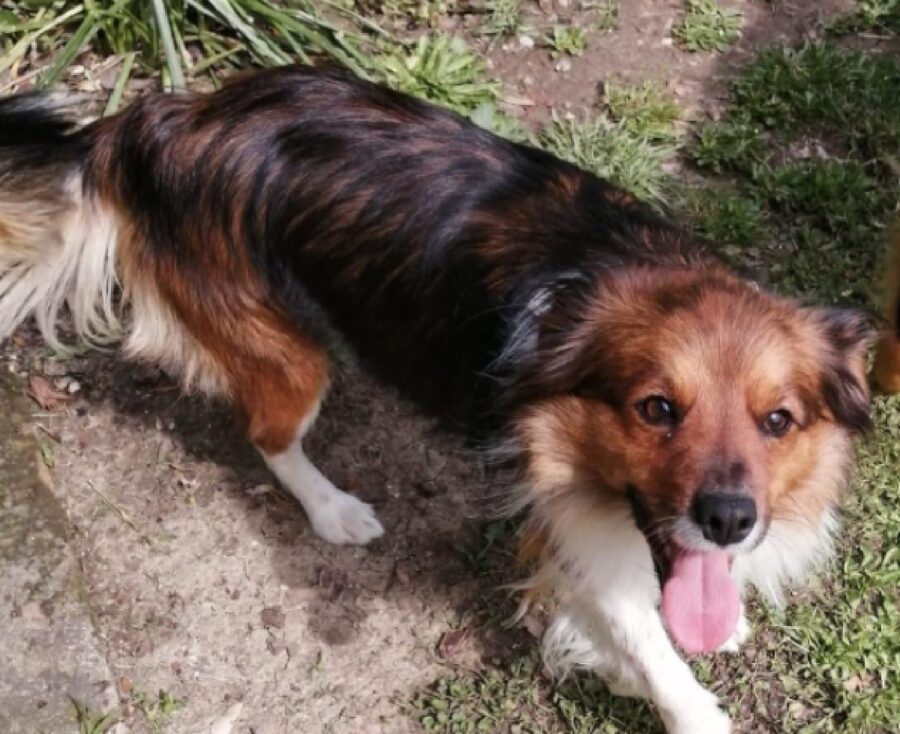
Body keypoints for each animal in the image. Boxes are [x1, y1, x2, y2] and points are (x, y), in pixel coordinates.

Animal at [0, 66, 872, 732]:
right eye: (655, 408)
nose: (728, 520)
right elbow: (644, 640)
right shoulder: (564, 513)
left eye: (779, 421)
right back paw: (334, 510)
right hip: (285, 352)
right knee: (269, 436)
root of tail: (168, 118)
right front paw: (682, 702)